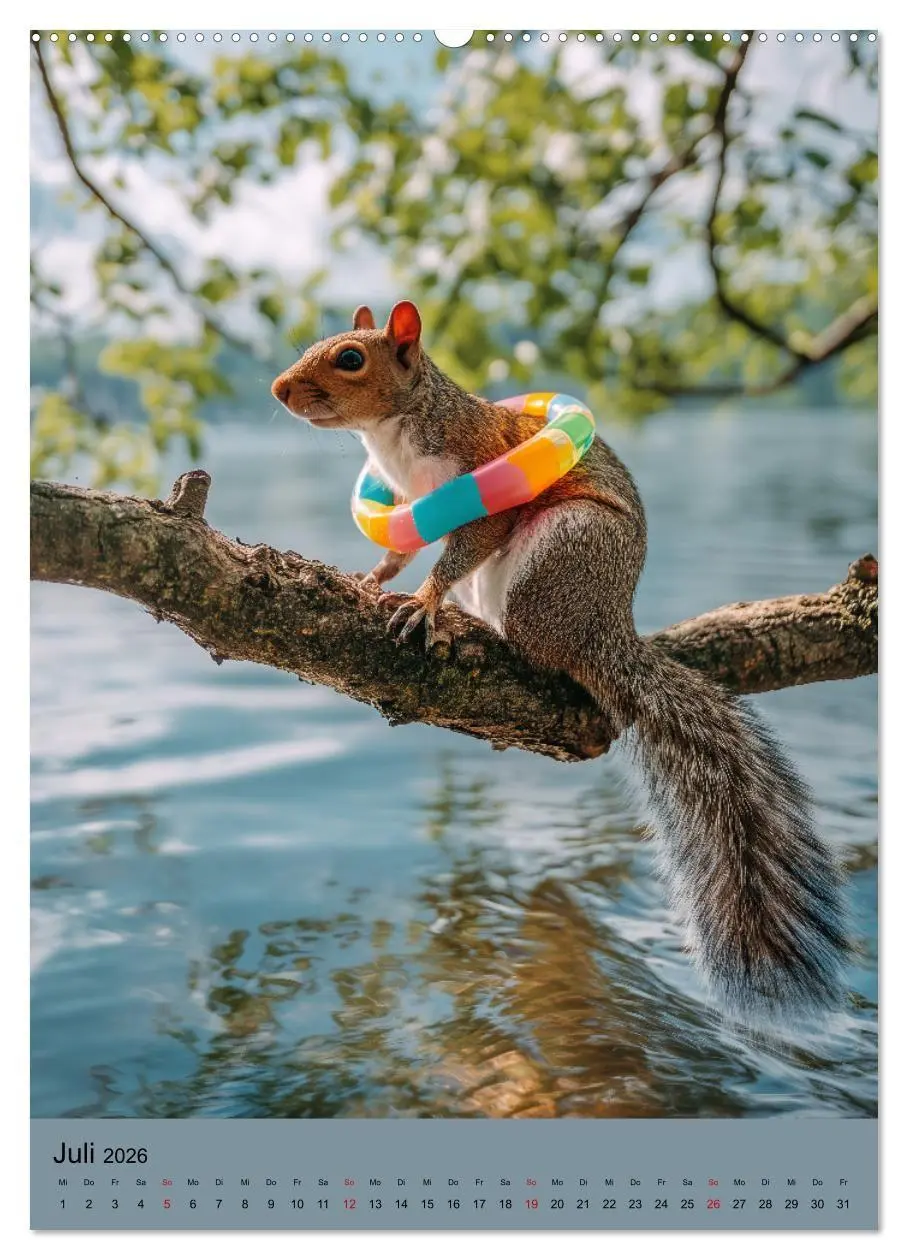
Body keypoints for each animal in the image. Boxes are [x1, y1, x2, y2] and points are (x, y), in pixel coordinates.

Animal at [272, 300, 849, 1023]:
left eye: (350, 358)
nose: (278, 390)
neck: (394, 435)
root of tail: (608, 629)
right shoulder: (409, 507)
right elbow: (401, 550)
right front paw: (372, 577)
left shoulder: (481, 477)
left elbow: (460, 550)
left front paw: (426, 603)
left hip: (557, 556)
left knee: (539, 649)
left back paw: (483, 633)